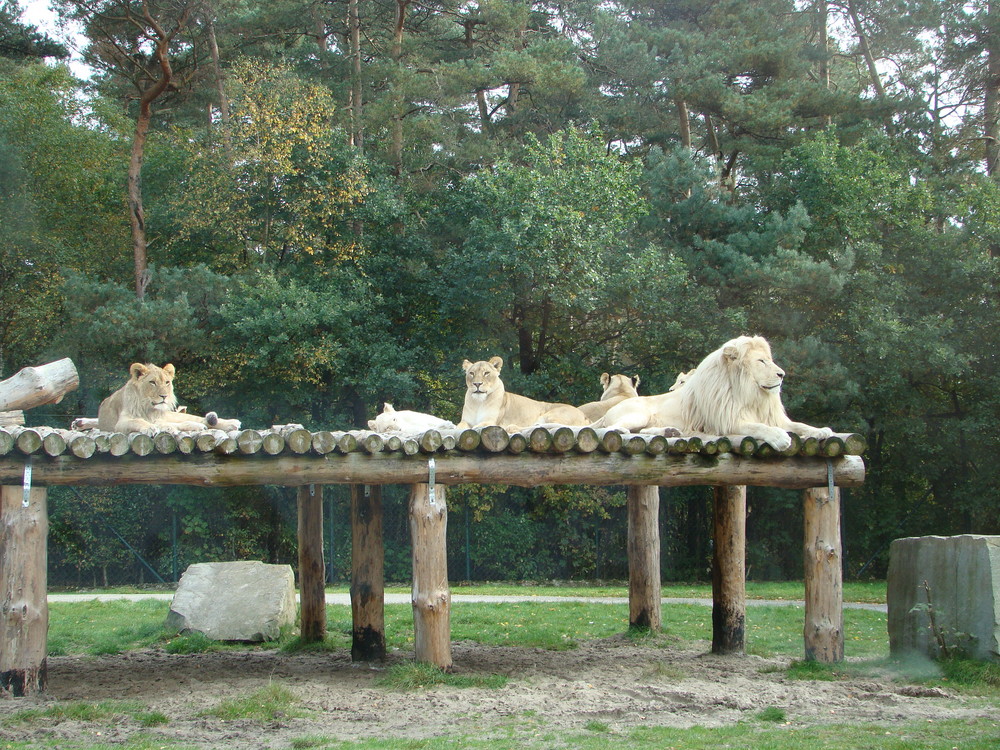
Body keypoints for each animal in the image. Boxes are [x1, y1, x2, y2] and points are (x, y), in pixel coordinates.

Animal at [95, 362, 242, 434]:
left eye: (167, 382)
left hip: (174, 415)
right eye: (152, 382)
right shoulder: (120, 423)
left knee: (197, 419)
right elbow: (138, 421)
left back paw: (230, 423)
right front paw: (150, 427)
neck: (150, 409)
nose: (164, 396)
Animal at [458, 356, 588, 428]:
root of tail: (585, 415)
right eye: (471, 373)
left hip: (553, 415)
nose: (477, 384)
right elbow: (460, 426)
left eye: (486, 373)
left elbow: (476, 427)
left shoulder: (490, 421)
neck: (478, 403)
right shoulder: (465, 421)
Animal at [588, 338, 832, 450]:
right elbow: (759, 427)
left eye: (769, 360)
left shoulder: (773, 417)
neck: (752, 395)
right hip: (638, 414)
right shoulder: (727, 421)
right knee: (610, 428)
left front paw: (822, 430)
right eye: (761, 361)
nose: (782, 374)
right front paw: (780, 438)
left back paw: (671, 431)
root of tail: (610, 409)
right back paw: (621, 429)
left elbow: (799, 425)